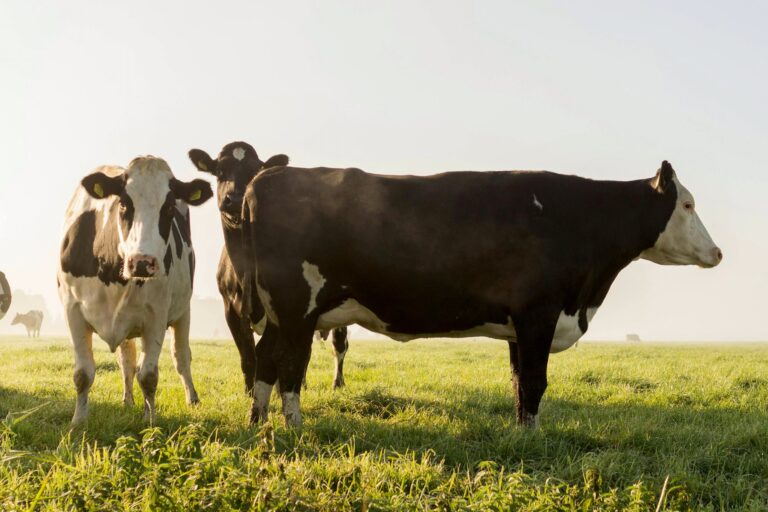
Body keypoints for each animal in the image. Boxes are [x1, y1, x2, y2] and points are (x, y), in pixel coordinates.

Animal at [57, 156, 213, 425]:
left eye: (168, 208)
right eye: (123, 204)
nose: (142, 262)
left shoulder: (156, 316)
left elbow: (149, 376)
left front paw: (151, 422)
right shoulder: (72, 311)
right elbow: (83, 374)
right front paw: (78, 422)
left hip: (183, 312)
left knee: (181, 356)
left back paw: (191, 398)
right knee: (127, 360)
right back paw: (127, 401)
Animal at [188, 142, 350, 394]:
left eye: (254, 171)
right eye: (220, 171)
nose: (235, 198)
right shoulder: (231, 309)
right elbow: (248, 357)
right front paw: (250, 392)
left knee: (338, 344)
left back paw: (336, 383)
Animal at [241, 160, 721, 428]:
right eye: (688, 204)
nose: (718, 252)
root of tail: (267, 175)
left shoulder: (518, 325)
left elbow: (519, 383)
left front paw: (523, 433)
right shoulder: (538, 313)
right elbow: (534, 382)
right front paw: (533, 439)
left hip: (280, 312)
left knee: (265, 359)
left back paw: (257, 422)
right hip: (296, 307)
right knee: (289, 365)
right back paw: (294, 426)